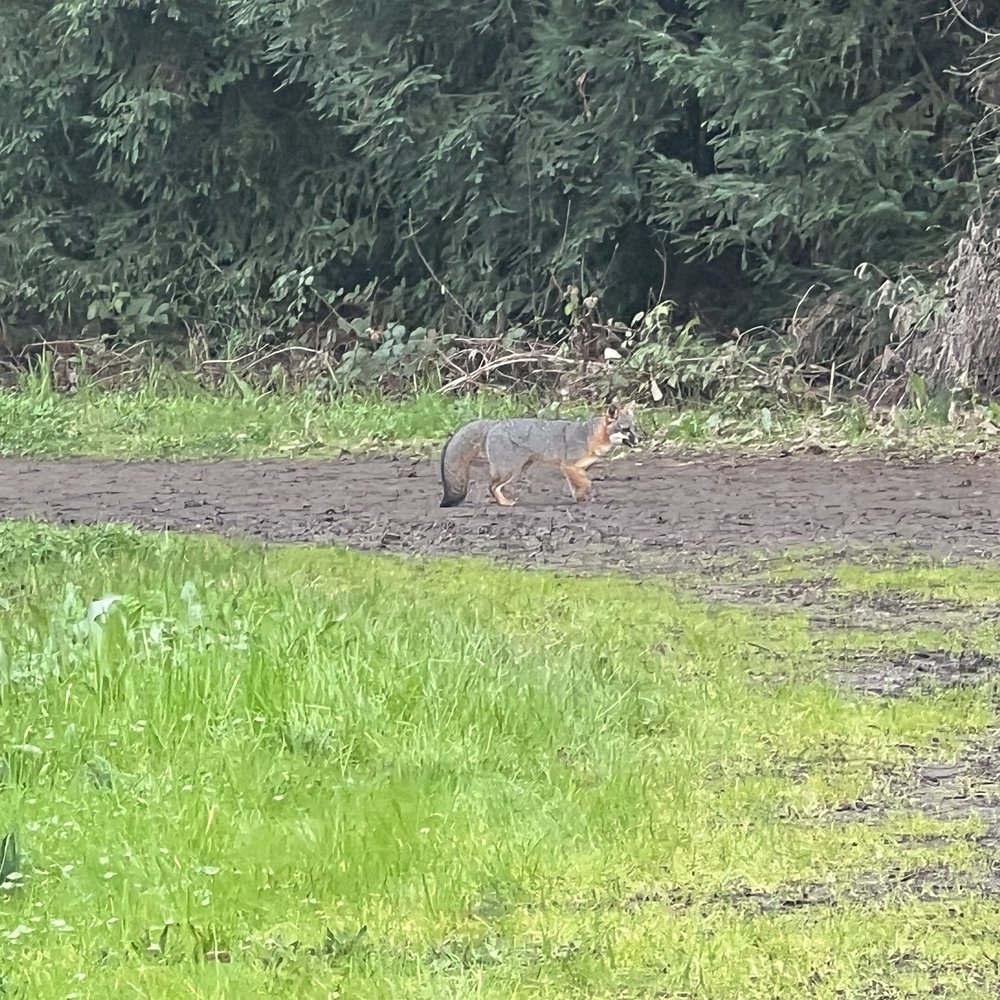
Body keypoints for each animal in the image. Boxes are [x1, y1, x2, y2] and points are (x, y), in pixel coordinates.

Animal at [439, 402, 641, 508]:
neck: (590, 436)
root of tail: (495, 422)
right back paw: (505, 503)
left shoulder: (575, 468)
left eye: (634, 428)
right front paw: (584, 494)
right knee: (492, 486)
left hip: (520, 468)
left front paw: (580, 498)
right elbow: (587, 483)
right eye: (625, 430)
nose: (639, 439)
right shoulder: (568, 465)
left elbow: (577, 485)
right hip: (511, 471)